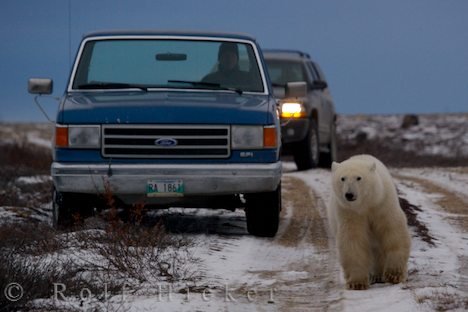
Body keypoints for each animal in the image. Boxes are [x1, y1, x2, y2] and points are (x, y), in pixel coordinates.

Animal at [330, 154, 410, 290]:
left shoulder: (382, 204)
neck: (365, 205)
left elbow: (392, 231)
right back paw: (374, 275)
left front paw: (394, 275)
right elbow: (353, 240)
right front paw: (357, 282)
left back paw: (378, 275)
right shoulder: (349, 212)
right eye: (342, 178)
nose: (349, 194)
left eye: (358, 178)